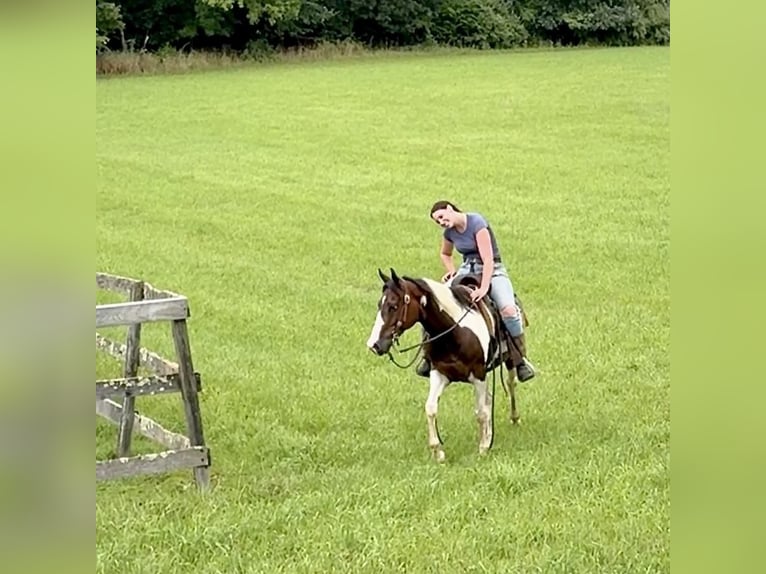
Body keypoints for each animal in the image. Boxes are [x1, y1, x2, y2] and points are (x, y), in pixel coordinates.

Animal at [368, 270, 528, 464]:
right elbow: (431, 408)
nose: (374, 345)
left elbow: (481, 412)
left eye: (393, 306)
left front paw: (482, 448)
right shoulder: (439, 373)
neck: (455, 333)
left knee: (511, 384)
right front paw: (438, 452)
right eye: (380, 304)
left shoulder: (479, 375)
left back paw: (515, 418)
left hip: (510, 359)